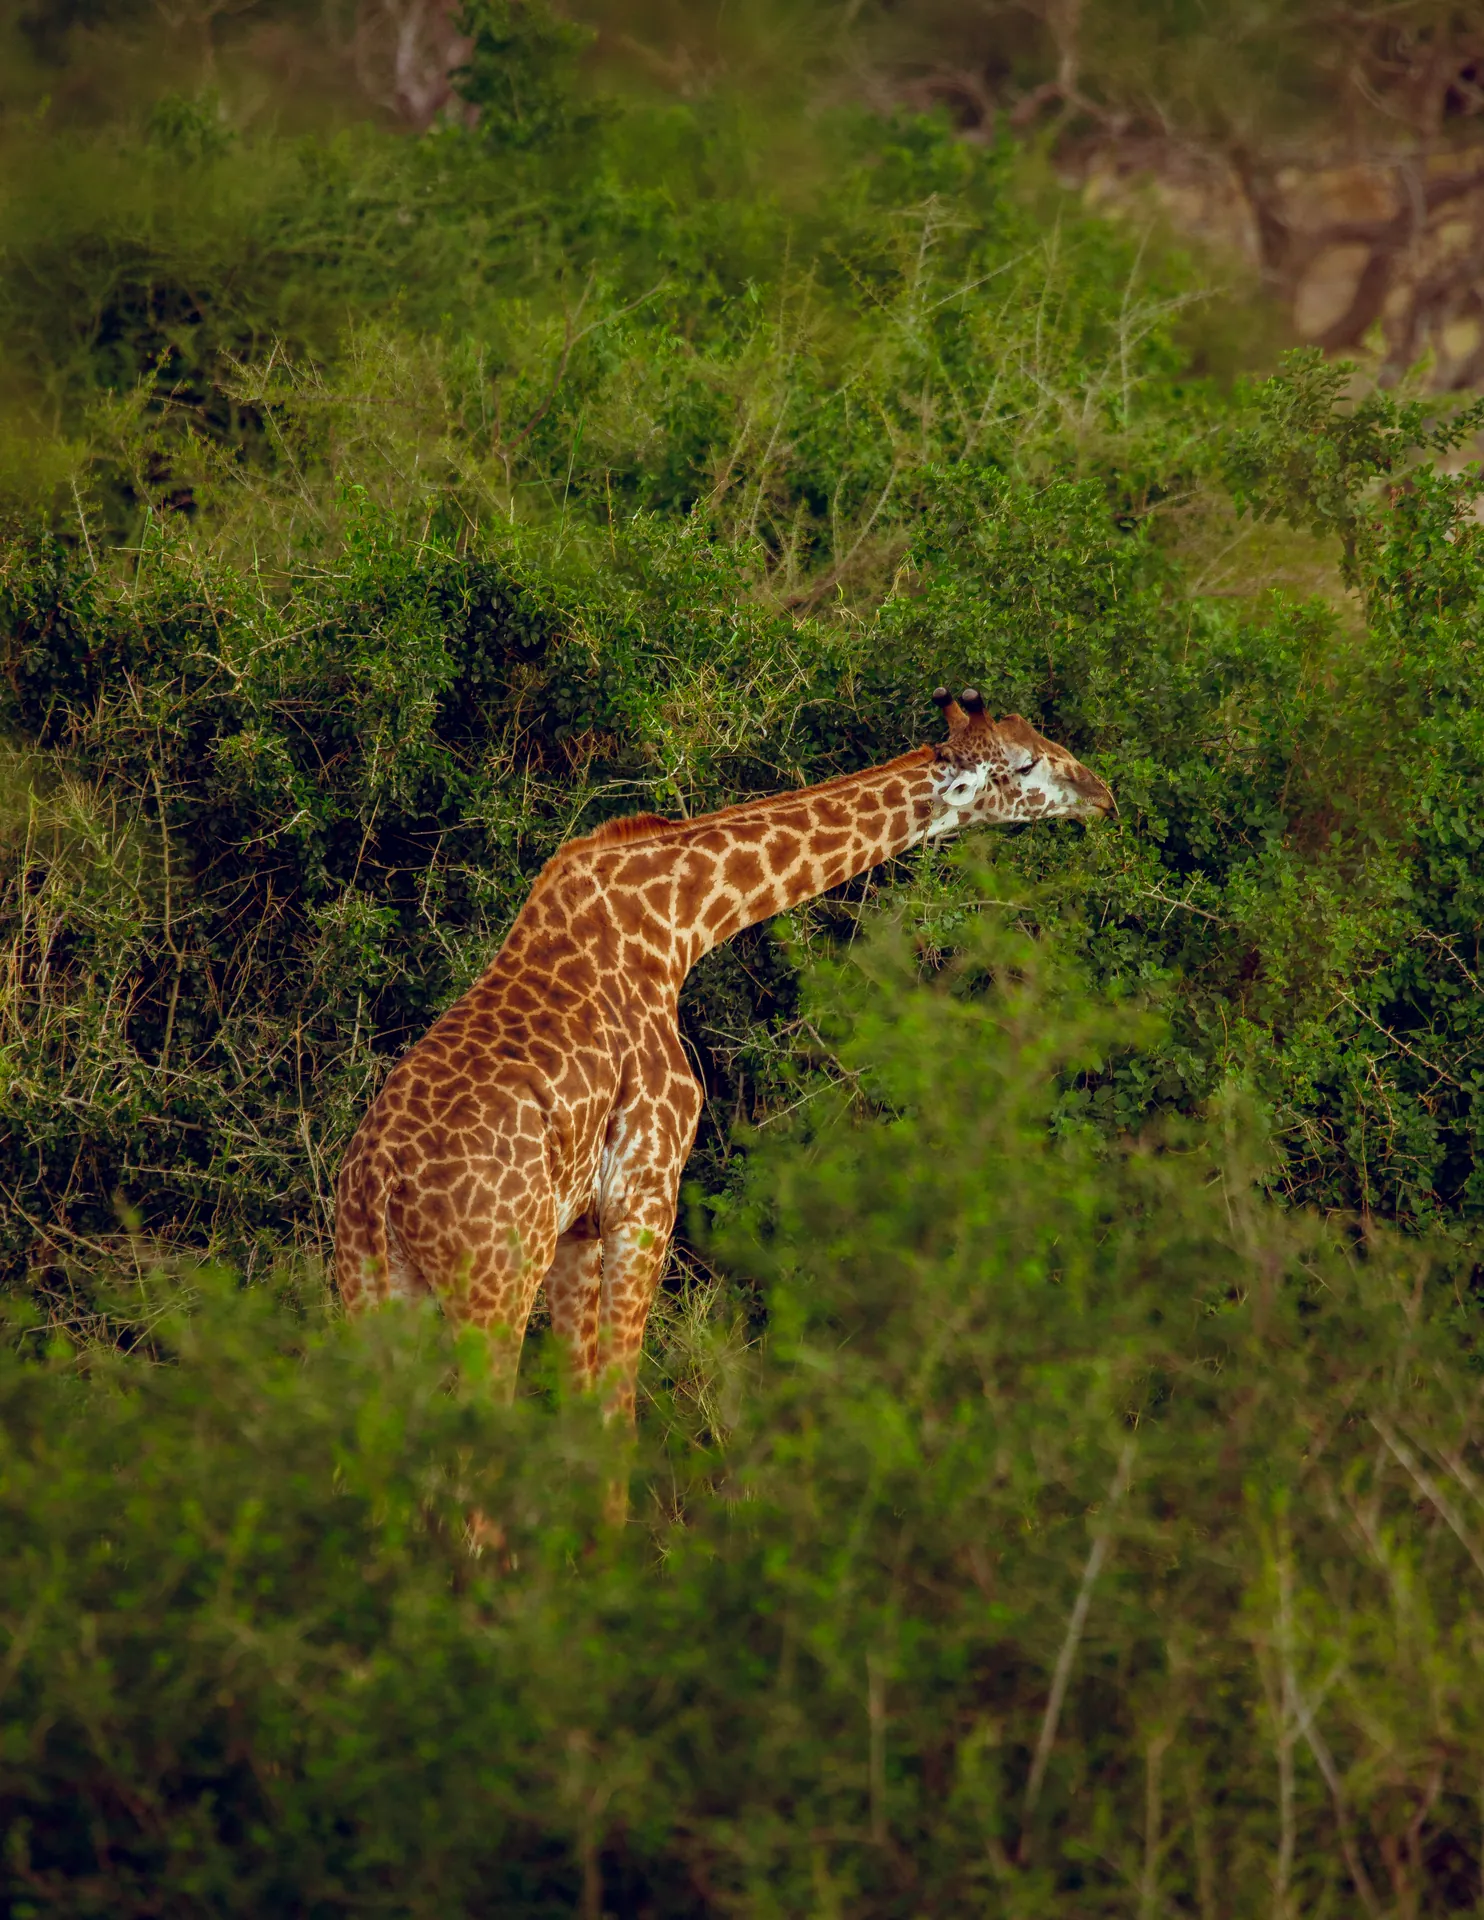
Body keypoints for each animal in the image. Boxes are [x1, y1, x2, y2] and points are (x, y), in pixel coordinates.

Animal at [334, 688, 1114, 1426]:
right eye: (1025, 764)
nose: (1102, 793)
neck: (676, 927)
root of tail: (381, 1186)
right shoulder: (646, 1192)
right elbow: (616, 1412)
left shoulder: (580, 1223)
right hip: (493, 1285)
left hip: (370, 1285)